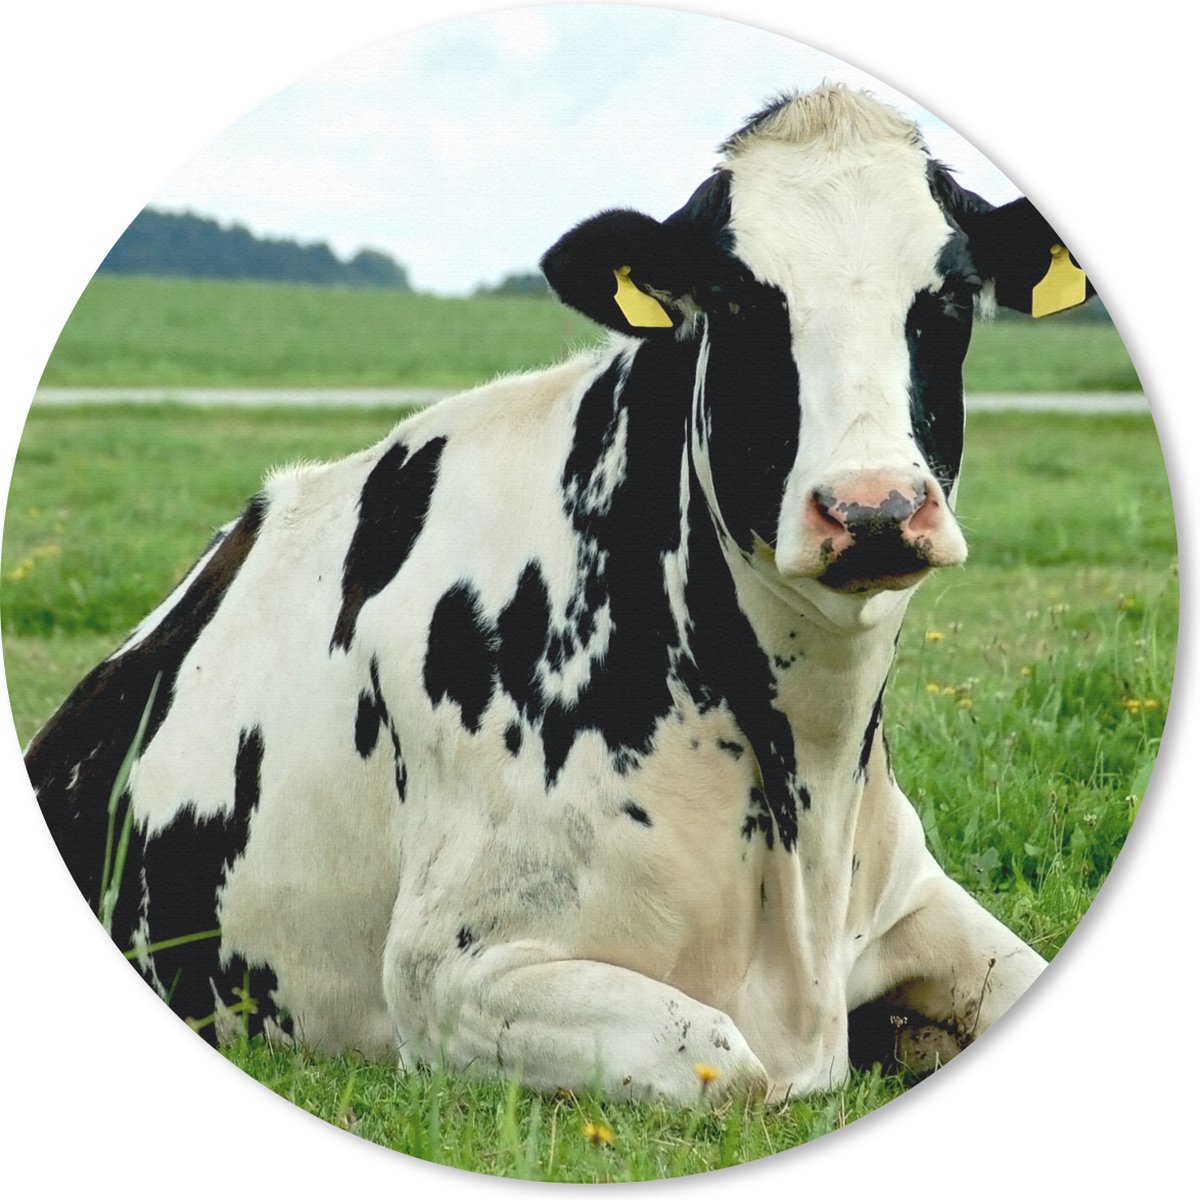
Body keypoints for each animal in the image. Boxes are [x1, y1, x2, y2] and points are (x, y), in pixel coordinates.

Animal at [25, 85, 1090, 1105]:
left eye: (951, 297)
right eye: (738, 299)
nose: (872, 507)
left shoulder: (913, 900)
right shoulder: (451, 974)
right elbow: (732, 1067)